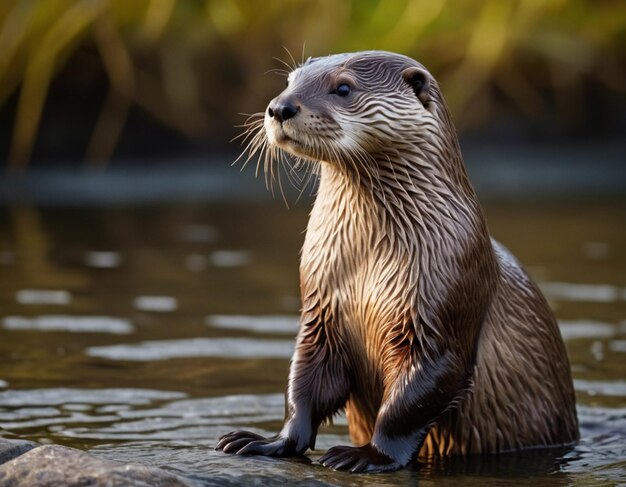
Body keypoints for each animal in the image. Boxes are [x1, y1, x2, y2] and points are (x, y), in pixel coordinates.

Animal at [214, 52, 576, 472]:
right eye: (289, 82)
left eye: (343, 87)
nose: (280, 107)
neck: (366, 265)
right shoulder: (320, 309)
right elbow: (304, 383)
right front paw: (266, 442)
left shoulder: (442, 311)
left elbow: (410, 402)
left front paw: (368, 455)